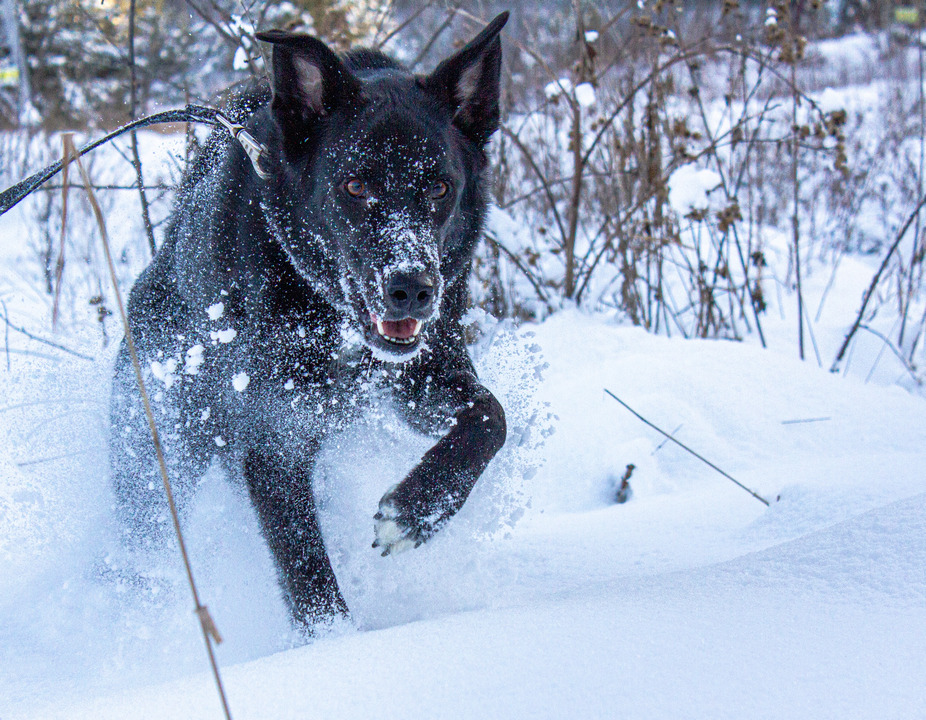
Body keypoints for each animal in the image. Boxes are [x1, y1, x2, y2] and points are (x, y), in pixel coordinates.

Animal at [113, 14, 516, 628]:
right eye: (355, 185)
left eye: (439, 187)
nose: (412, 290)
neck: (329, 319)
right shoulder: (273, 443)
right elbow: (307, 574)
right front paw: (334, 642)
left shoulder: (422, 381)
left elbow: (490, 418)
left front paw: (417, 511)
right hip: (162, 452)